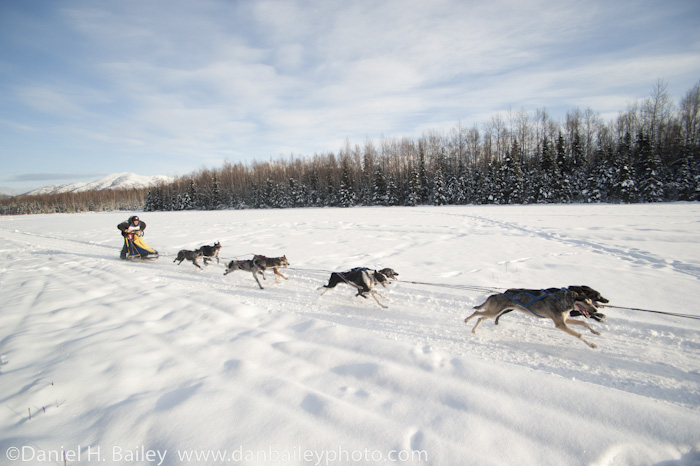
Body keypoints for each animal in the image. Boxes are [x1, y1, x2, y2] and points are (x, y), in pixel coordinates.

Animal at [464, 288, 600, 350]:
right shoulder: (560, 324)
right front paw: (592, 344)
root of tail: (495, 294)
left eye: (591, 301)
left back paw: (474, 329)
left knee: (480, 318)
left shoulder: (564, 321)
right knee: (476, 312)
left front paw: (595, 332)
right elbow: (579, 334)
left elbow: (584, 322)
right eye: (586, 301)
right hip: (493, 312)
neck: (563, 300)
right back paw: (466, 320)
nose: (595, 310)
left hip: (493, 313)